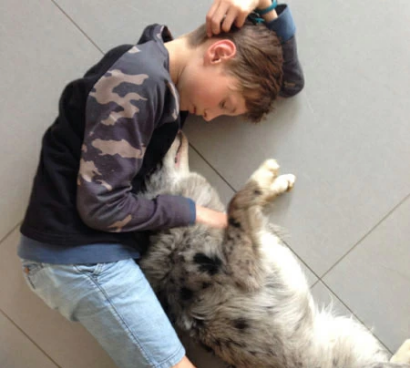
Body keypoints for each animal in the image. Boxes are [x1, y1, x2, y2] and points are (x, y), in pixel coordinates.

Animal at [139, 132, 410, 368]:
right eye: (153, 169)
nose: (177, 131)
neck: (175, 234)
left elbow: (245, 205)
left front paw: (276, 184)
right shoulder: (248, 270)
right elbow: (237, 202)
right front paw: (263, 176)